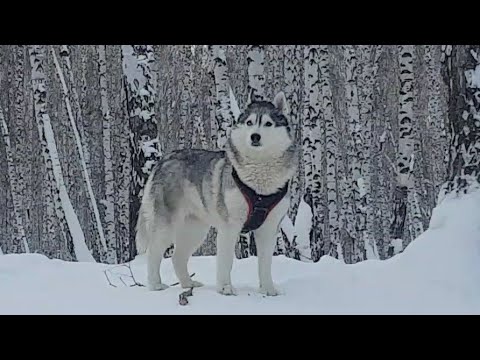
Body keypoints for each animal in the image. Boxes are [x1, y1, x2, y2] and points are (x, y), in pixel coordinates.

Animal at [135, 91, 298, 296]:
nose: (255, 136)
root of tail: (164, 160)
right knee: (154, 253)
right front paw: (225, 288)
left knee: (177, 257)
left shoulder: (269, 228)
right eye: (250, 122)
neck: (260, 186)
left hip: (195, 230)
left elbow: (265, 264)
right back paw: (155, 284)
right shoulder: (230, 226)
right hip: (166, 225)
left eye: (268, 123)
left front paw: (268, 289)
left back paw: (188, 283)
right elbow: (226, 261)